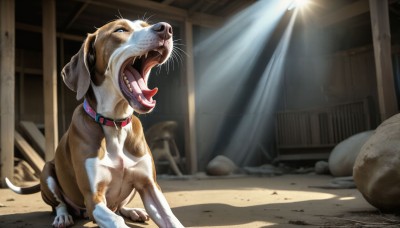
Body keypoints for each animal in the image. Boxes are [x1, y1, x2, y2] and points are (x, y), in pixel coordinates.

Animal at [5, 18, 184, 228]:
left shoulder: (150, 185)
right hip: (47, 171)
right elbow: (115, 219)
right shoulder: (94, 198)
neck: (114, 123)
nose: (166, 28)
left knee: (119, 207)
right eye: (120, 30)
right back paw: (63, 216)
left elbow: (170, 217)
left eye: (144, 25)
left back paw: (133, 211)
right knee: (59, 204)